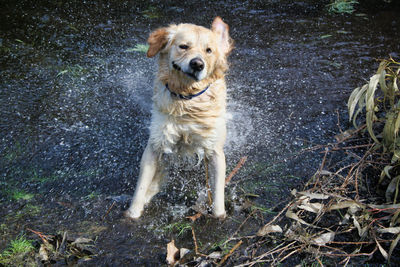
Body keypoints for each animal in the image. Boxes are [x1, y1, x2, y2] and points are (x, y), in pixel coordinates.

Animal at [125, 17, 231, 222]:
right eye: (183, 46)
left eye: (208, 50)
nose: (197, 64)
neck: (186, 98)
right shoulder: (155, 144)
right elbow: (140, 187)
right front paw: (132, 214)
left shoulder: (215, 150)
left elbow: (218, 194)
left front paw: (219, 215)